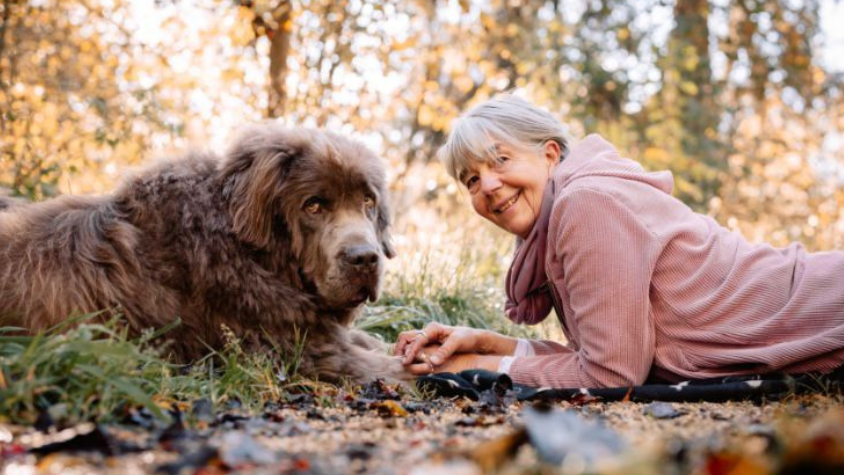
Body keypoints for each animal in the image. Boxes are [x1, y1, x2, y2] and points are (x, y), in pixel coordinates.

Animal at [0, 124, 414, 384]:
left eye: (367, 202)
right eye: (313, 206)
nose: (365, 258)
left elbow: (375, 341)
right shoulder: (298, 350)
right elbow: (397, 367)